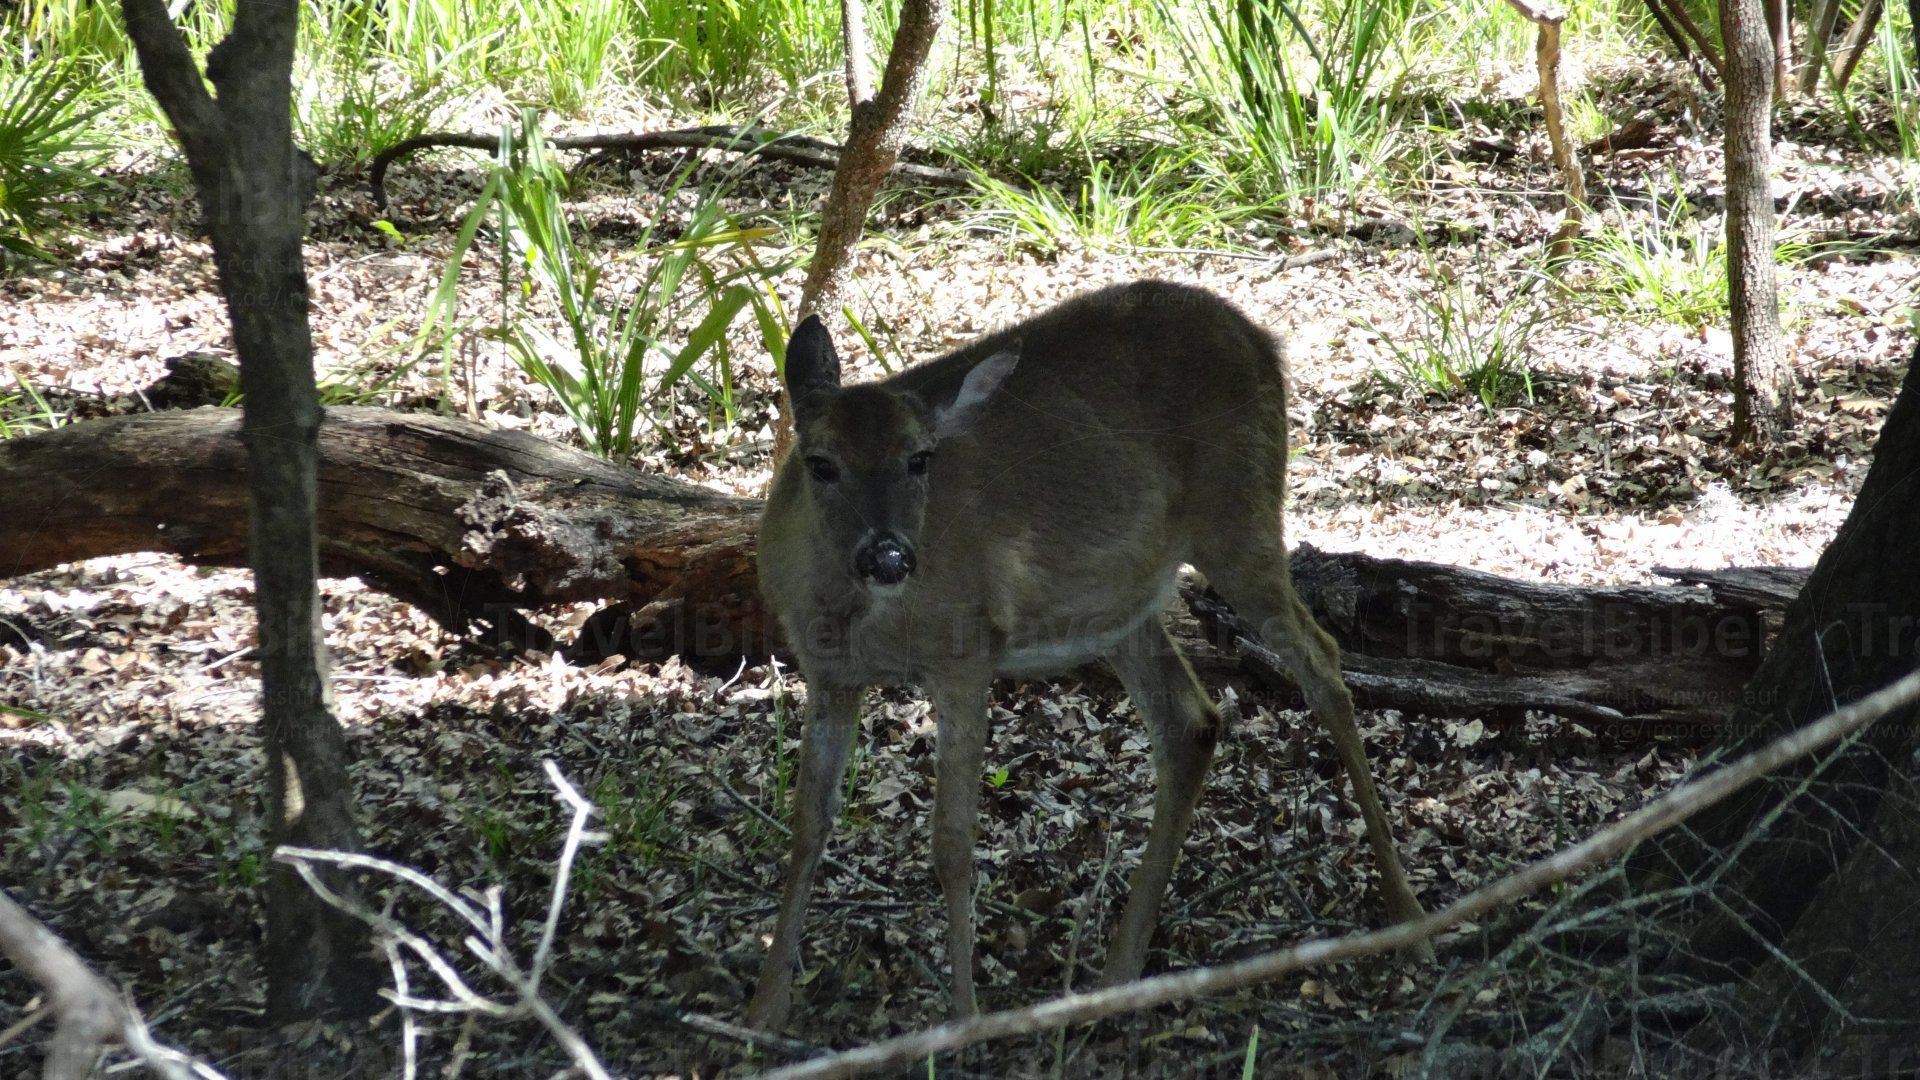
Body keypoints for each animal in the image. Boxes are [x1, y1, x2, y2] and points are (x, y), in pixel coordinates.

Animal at [744, 280, 1427, 1032]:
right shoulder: (827, 674)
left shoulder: (966, 648)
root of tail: (1264, 342)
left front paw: (963, 1019)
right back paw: (1118, 974)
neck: (856, 616)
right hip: (1123, 598)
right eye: (821, 463)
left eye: (920, 458)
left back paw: (1409, 917)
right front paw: (766, 1008)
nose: (890, 554)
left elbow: (951, 840)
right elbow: (807, 824)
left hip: (1239, 514)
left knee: (1323, 663)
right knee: (1191, 719)